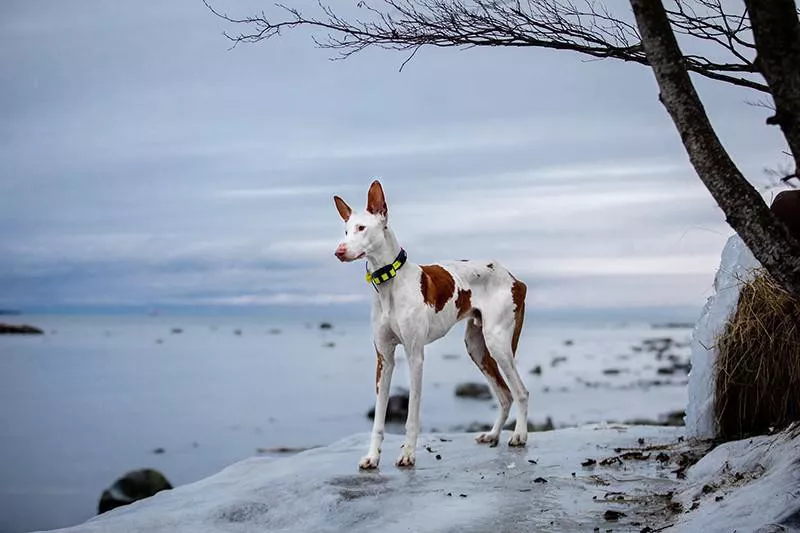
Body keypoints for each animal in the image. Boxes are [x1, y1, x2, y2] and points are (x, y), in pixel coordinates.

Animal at [334, 181, 528, 468]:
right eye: (346, 230)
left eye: (362, 228)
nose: (338, 251)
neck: (390, 283)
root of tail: (513, 277)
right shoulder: (384, 359)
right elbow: (379, 418)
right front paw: (372, 457)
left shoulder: (415, 356)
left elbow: (412, 415)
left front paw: (408, 454)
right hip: (477, 348)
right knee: (505, 395)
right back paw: (493, 434)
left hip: (497, 344)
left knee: (520, 392)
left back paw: (520, 436)